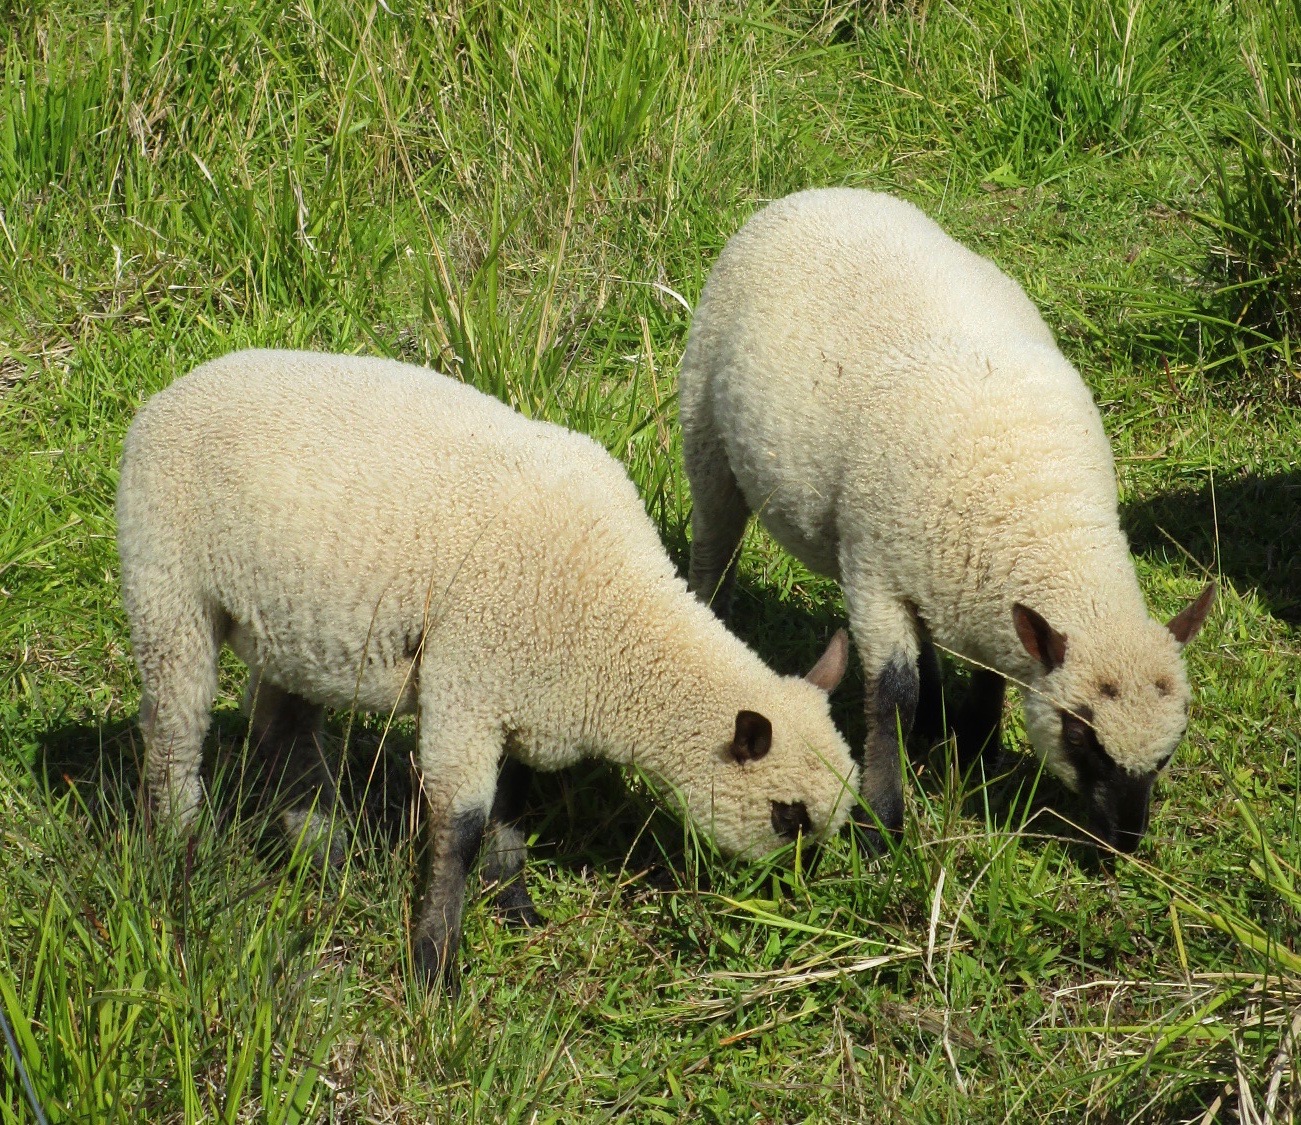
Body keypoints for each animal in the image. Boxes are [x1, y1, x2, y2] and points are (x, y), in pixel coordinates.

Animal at [116, 348, 860, 986]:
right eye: (788, 817)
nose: (794, 900)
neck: (615, 622)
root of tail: (169, 393)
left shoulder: (519, 695)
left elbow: (509, 808)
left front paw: (515, 908)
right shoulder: (467, 681)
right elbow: (463, 827)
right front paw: (435, 965)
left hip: (296, 627)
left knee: (283, 733)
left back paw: (324, 859)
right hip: (167, 584)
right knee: (173, 738)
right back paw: (181, 860)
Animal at [679, 187, 1215, 853]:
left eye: (1172, 746)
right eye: (1079, 734)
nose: (1126, 838)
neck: (1036, 506)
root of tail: (817, 193)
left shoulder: (974, 586)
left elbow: (986, 670)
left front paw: (978, 749)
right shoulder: (876, 579)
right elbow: (890, 698)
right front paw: (883, 823)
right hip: (705, 426)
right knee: (714, 547)